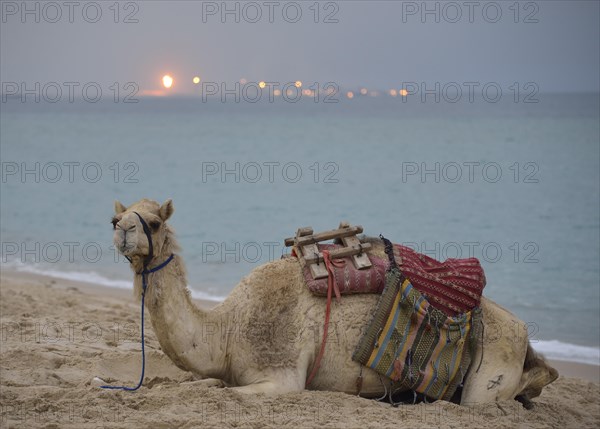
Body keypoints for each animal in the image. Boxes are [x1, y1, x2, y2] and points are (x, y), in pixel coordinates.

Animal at [109, 197, 556, 404]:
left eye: (154, 222)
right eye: (117, 216)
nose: (122, 229)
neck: (226, 330)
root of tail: (523, 333)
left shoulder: (283, 376)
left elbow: (225, 390)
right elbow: (208, 383)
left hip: (490, 369)